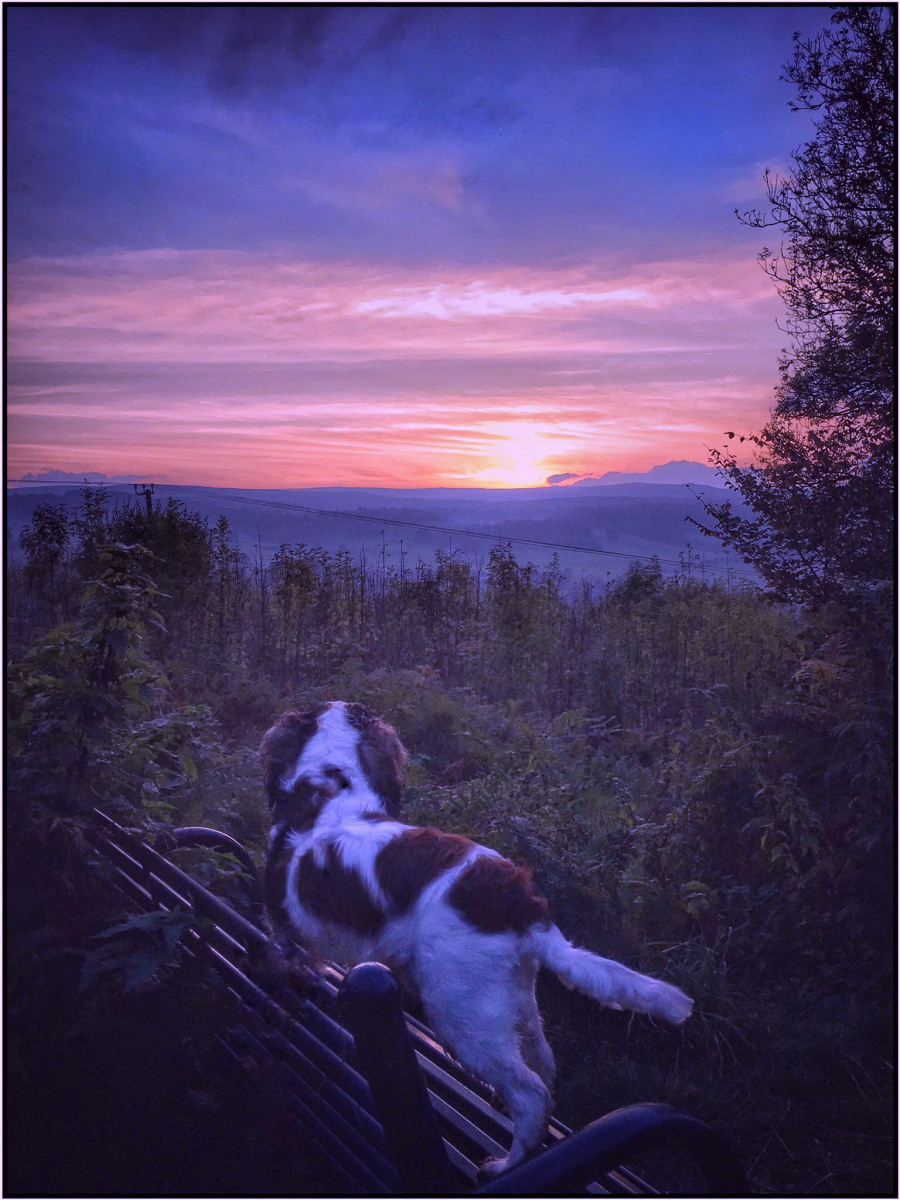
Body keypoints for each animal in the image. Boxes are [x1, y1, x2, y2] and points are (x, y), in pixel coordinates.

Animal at [256, 700, 696, 1176]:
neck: (330, 794)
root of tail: (523, 906)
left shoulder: (285, 935)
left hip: (458, 1013)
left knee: (531, 1093)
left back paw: (507, 1165)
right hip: (511, 998)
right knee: (543, 1063)